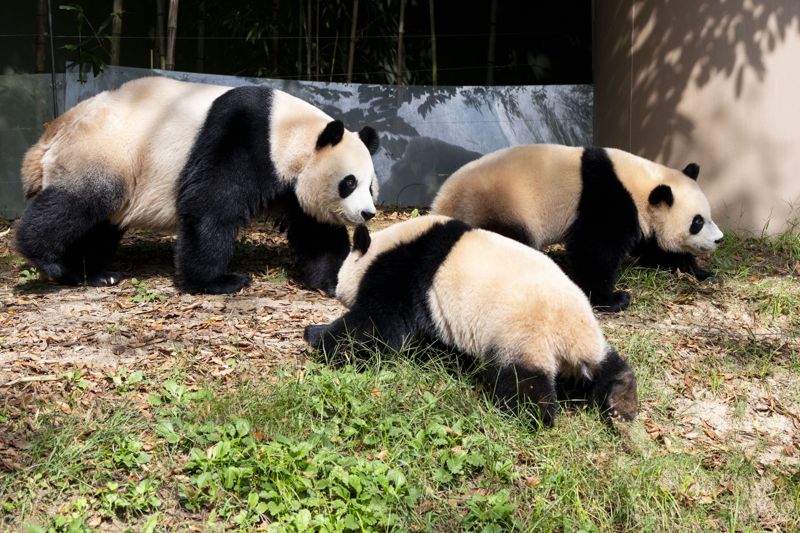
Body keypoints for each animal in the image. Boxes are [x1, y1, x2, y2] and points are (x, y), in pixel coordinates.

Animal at [14, 75, 382, 294]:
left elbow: (314, 231)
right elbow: (211, 206)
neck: (290, 129)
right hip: (104, 151)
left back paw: (93, 273)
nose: (367, 213)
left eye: (371, 187)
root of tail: (56, 127)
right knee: (79, 204)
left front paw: (333, 279)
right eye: (349, 182)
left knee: (100, 226)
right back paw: (52, 261)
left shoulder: (292, 181)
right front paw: (218, 281)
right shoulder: (243, 136)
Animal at [304, 214, 640, 426]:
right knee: (606, 364)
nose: (333, 290)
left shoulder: (405, 272)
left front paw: (316, 335)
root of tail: (567, 337)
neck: (386, 245)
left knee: (522, 380)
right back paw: (621, 398)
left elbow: (378, 325)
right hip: (586, 334)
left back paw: (533, 414)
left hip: (520, 333)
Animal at [432, 144, 724, 312]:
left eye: (708, 215)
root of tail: (441, 203)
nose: (719, 240)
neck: (639, 184)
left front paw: (703, 273)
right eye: (697, 222)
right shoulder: (607, 198)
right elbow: (596, 249)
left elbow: (654, 249)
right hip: (497, 205)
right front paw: (613, 299)